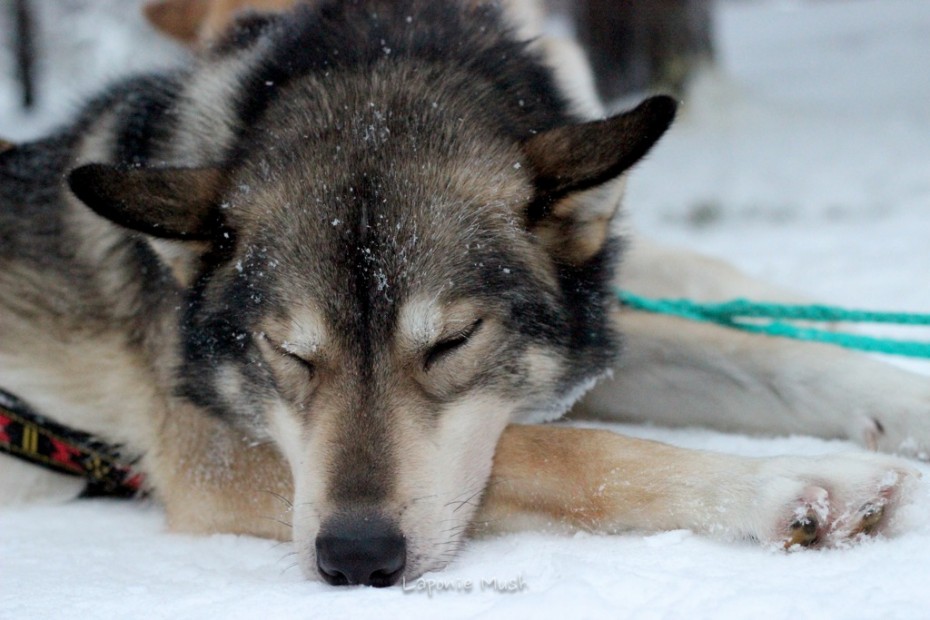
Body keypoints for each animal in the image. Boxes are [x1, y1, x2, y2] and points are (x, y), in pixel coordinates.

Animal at [0, 0, 924, 588]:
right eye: (289, 353)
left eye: (450, 343)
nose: (355, 557)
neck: (378, 66)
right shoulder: (218, 457)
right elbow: (562, 451)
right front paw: (793, 483)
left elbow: (775, 359)